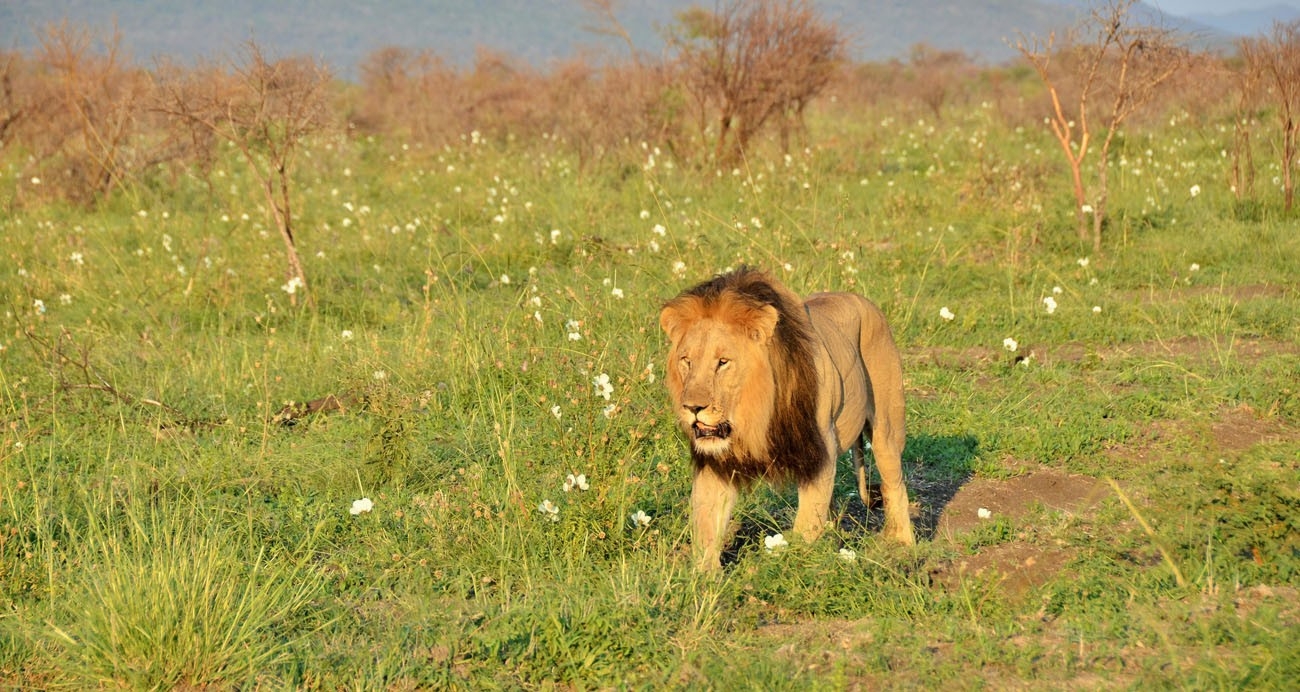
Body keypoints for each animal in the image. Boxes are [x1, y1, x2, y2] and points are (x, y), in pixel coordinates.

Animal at [660, 267, 915, 569]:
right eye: (686, 361)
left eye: (723, 362)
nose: (692, 407)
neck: (756, 417)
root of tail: (864, 300)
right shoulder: (716, 463)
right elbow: (707, 526)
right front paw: (702, 577)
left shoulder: (820, 451)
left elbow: (807, 525)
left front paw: (794, 567)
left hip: (887, 428)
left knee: (894, 483)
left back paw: (903, 545)